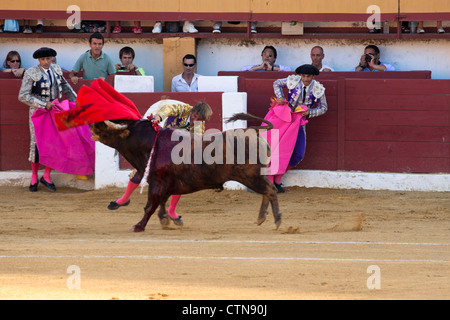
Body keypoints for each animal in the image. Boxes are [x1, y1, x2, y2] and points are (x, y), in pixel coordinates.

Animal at [90, 114, 282, 231]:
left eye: (109, 129)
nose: (95, 122)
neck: (150, 143)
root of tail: (253, 131)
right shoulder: (163, 183)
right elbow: (160, 203)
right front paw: (165, 220)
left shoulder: (157, 182)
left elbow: (150, 205)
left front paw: (138, 226)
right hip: (255, 176)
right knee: (267, 192)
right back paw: (261, 218)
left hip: (251, 176)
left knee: (270, 190)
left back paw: (277, 220)